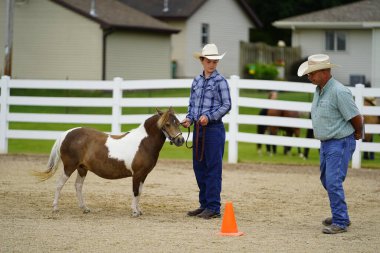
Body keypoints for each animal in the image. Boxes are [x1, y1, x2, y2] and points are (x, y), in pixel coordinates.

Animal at [33, 107, 185, 216]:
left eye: (178, 123)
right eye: (167, 124)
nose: (180, 140)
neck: (143, 143)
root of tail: (66, 134)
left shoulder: (143, 175)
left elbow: (140, 192)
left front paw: (139, 210)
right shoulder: (137, 174)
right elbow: (135, 191)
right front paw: (134, 211)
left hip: (82, 168)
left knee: (78, 186)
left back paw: (85, 208)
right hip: (69, 167)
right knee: (59, 185)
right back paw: (55, 208)